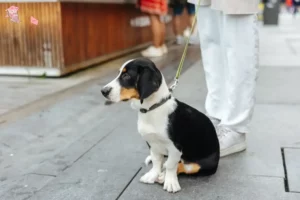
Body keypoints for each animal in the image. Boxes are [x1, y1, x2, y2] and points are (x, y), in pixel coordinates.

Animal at [101, 58, 220, 193]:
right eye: (119, 74)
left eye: (126, 76)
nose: (103, 91)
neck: (152, 110)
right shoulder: (152, 143)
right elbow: (157, 161)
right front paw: (152, 174)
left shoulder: (175, 147)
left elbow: (171, 165)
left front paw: (170, 182)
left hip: (203, 164)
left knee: (184, 166)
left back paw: (163, 176)